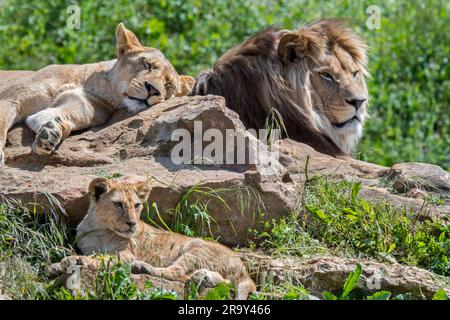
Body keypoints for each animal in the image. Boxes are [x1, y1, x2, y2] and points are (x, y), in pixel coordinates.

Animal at [0, 22, 194, 165]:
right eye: (147, 64)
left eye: (169, 85)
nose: (153, 89)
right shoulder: (11, 99)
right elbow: (1, 124)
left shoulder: (85, 107)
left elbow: (52, 117)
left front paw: (49, 134)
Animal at [48, 176, 256, 298]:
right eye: (118, 204)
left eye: (137, 205)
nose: (132, 223)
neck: (99, 228)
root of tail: (243, 267)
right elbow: (90, 254)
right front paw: (57, 265)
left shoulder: (126, 255)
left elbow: (98, 258)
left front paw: (69, 262)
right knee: (224, 283)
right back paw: (203, 277)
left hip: (196, 247)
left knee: (176, 274)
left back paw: (142, 267)